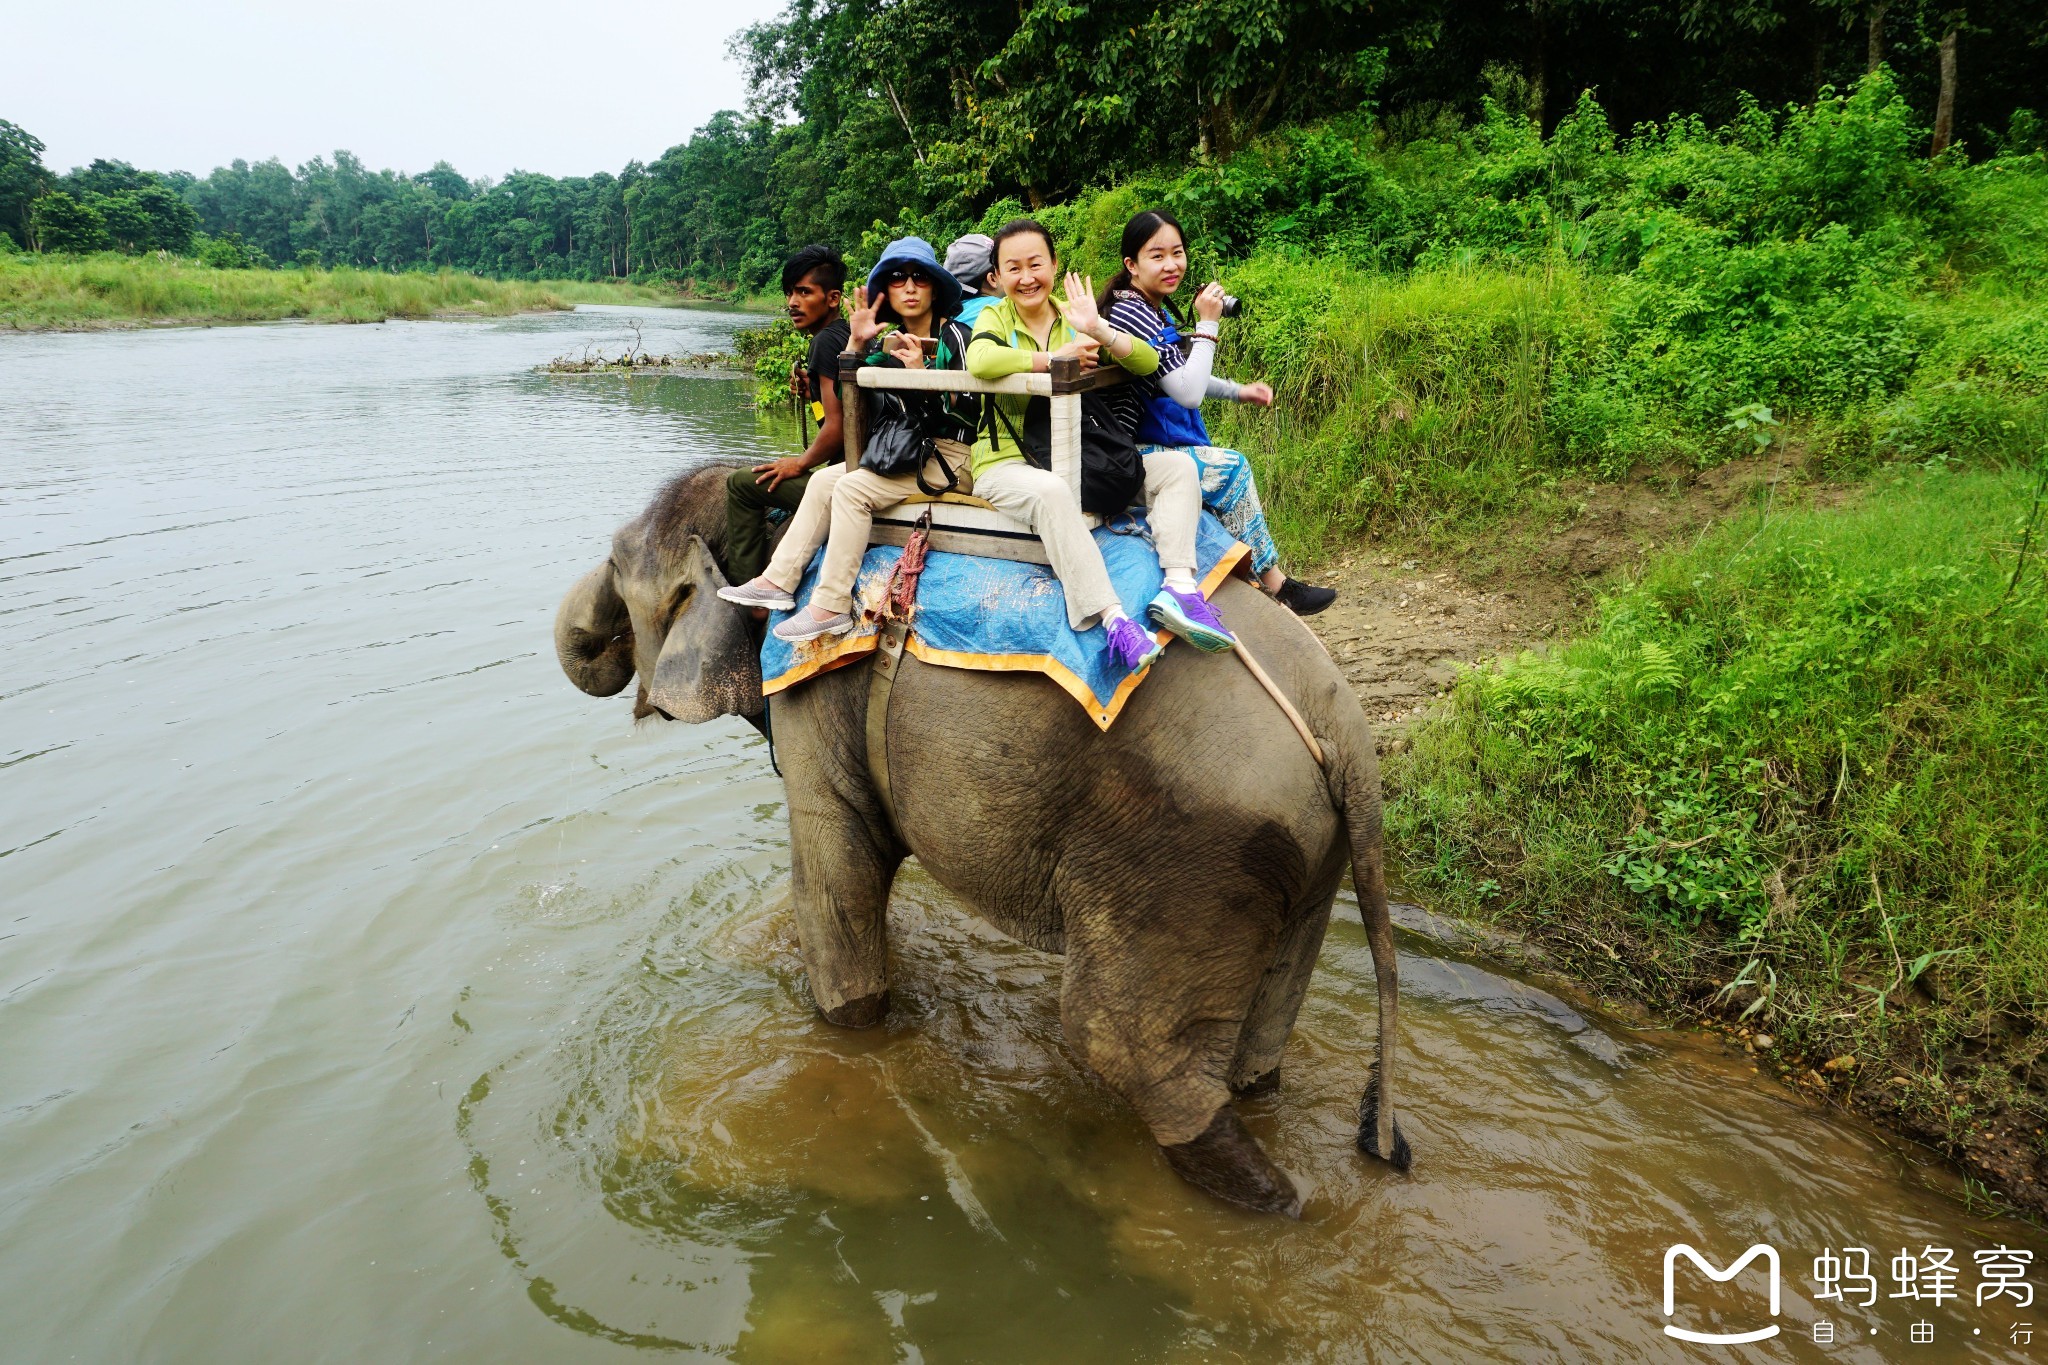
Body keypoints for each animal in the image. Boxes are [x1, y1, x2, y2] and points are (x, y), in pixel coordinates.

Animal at [552, 464, 1409, 1211]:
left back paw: (1264, 1202)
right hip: (1303, 854)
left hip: (1190, 862)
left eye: (618, 567)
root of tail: (1342, 723)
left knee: (1121, 1045)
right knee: (1259, 1044)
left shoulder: (812, 689)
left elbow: (834, 884)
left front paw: (851, 1034)